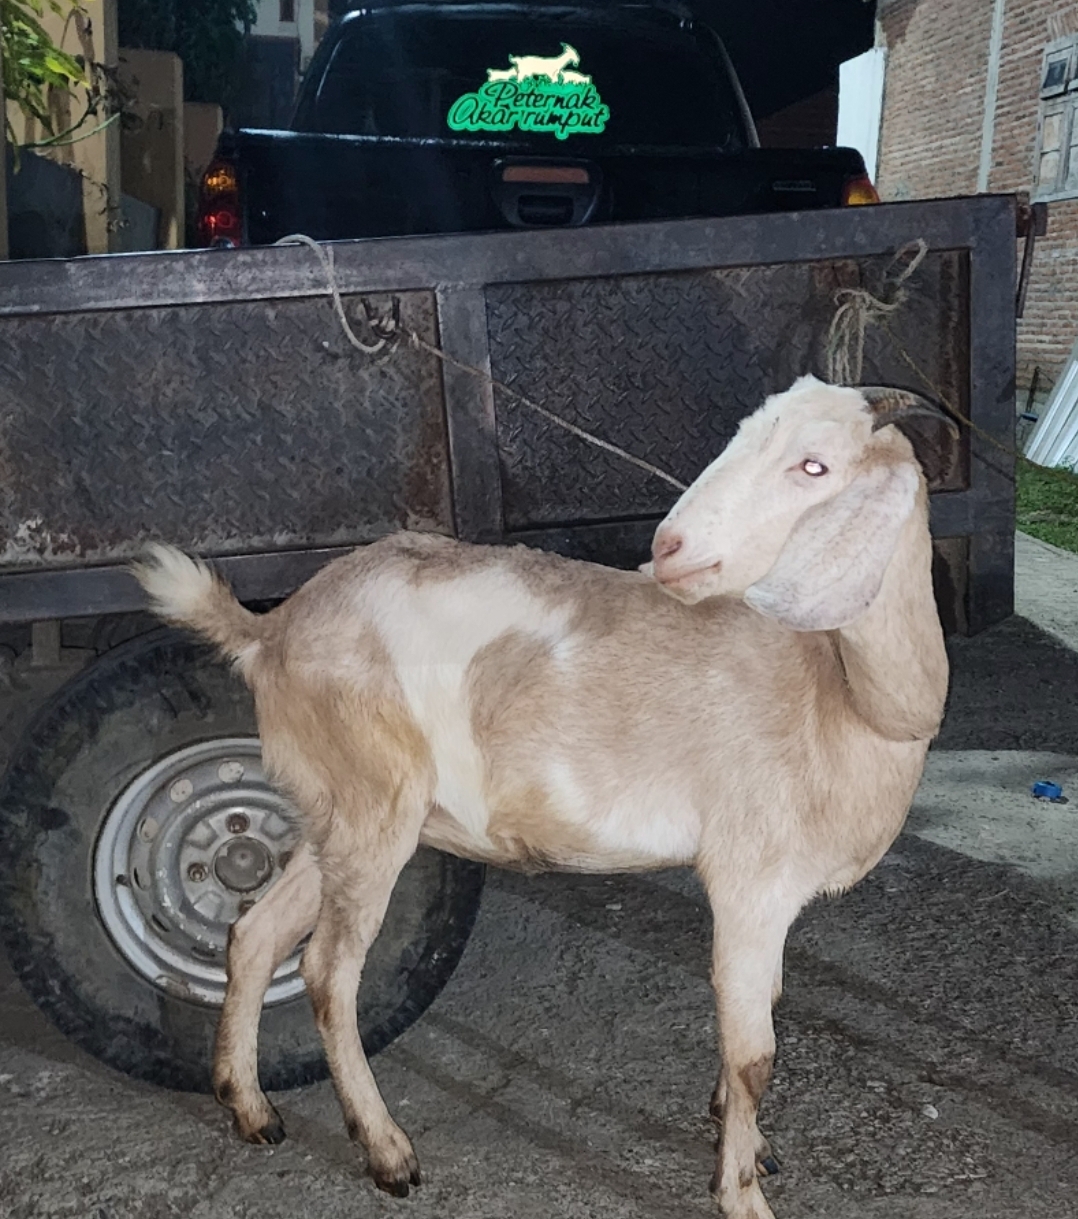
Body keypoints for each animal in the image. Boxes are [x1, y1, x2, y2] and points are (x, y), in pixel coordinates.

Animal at [133, 376, 953, 1219]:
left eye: (813, 465)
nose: (668, 548)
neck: (842, 692)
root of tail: (273, 629)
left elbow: (755, 1023)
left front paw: (746, 1143)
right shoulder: (749, 877)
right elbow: (754, 1050)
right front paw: (742, 1193)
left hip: (336, 808)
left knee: (254, 934)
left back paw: (249, 1106)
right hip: (372, 803)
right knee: (329, 969)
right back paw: (386, 1150)